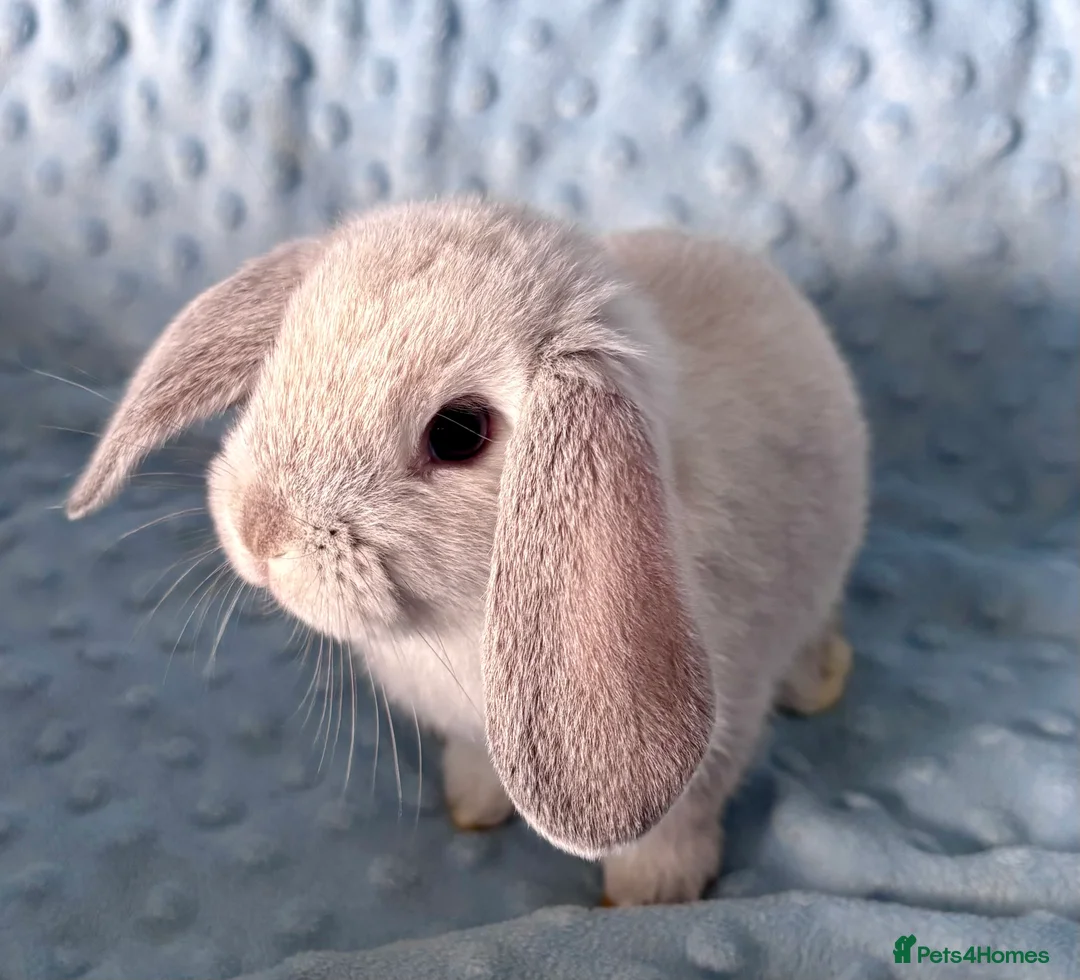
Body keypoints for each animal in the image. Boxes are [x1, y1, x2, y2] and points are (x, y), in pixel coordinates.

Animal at [66, 196, 869, 907]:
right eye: (277, 362)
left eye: (457, 433)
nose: (261, 531)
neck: (462, 622)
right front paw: (473, 808)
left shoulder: (718, 742)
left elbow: (677, 827)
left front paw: (649, 896)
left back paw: (821, 683)